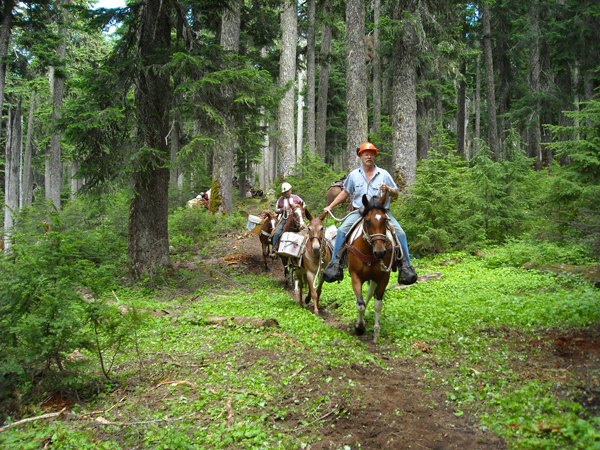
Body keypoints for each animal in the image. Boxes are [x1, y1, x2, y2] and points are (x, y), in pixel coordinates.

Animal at [344, 189, 396, 342]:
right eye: (367, 220)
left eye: (385, 219)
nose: (380, 252)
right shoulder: (355, 276)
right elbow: (360, 304)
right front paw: (359, 327)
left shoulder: (384, 277)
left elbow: (378, 304)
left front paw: (376, 332)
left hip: (374, 277)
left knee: (368, 294)